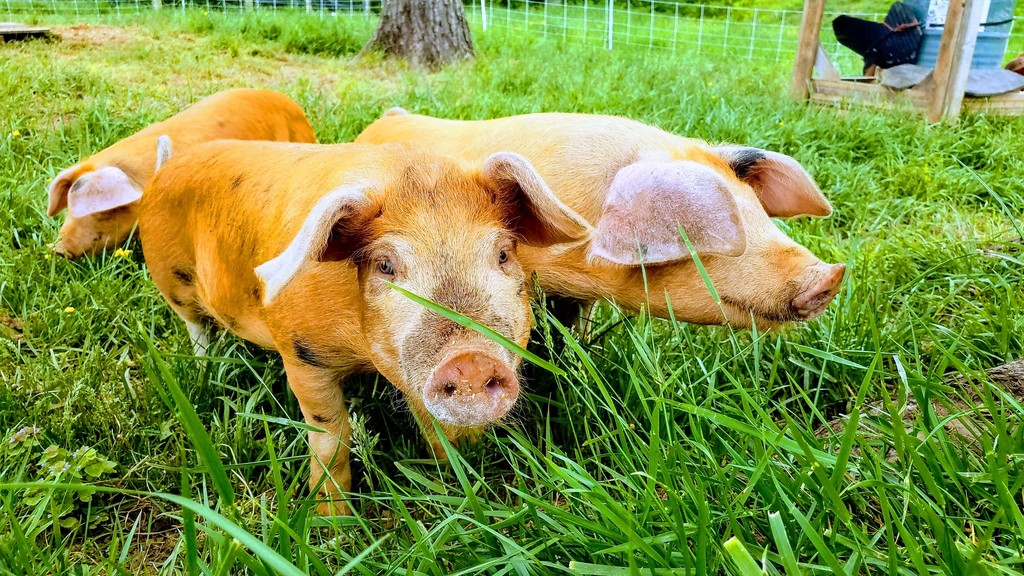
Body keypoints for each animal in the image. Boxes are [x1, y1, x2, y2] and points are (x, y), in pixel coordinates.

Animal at [139, 139, 590, 513]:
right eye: (385, 265)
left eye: (502, 255)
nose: (471, 360)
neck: (361, 355)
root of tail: (167, 165)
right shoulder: (301, 355)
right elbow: (330, 437)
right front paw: (332, 523)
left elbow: (438, 429)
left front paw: (463, 474)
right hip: (170, 280)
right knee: (196, 327)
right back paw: (206, 368)